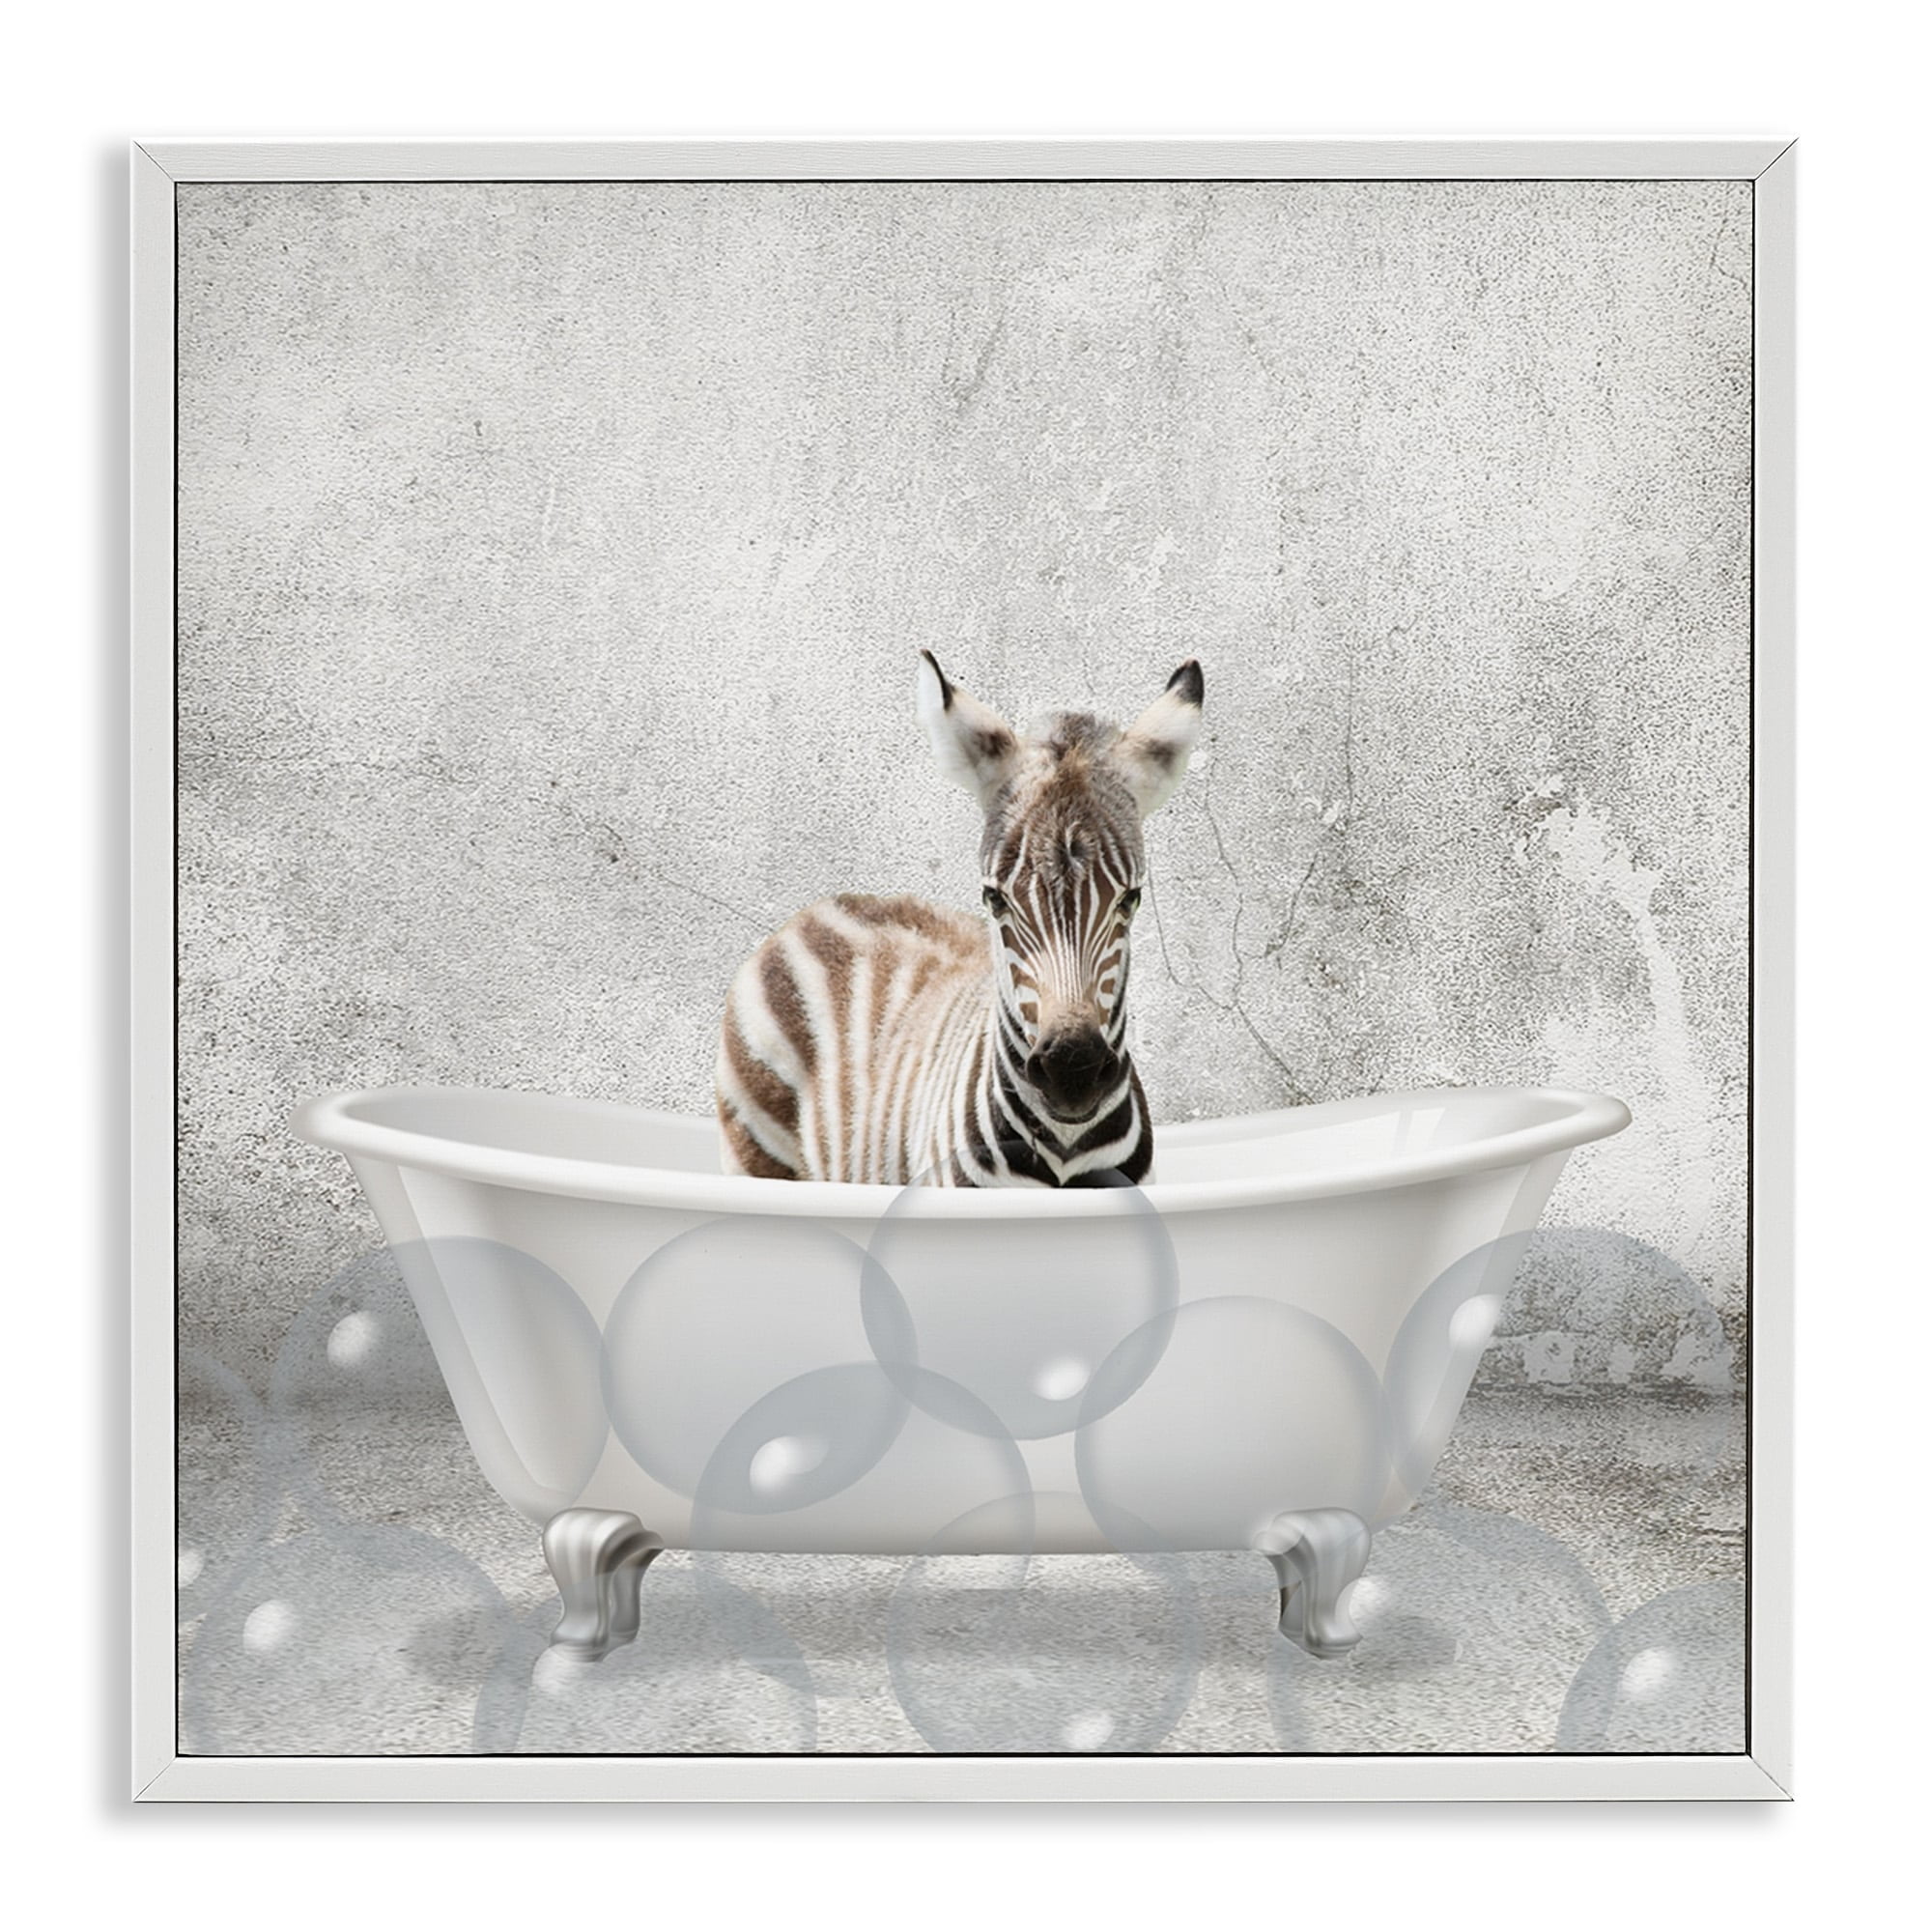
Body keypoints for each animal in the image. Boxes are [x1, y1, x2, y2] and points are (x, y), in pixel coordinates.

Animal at [715, 654, 1203, 1187]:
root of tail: (819, 906)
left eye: (1130, 899)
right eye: (994, 899)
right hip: (757, 1148)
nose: (1071, 1073)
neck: (1065, 1147)